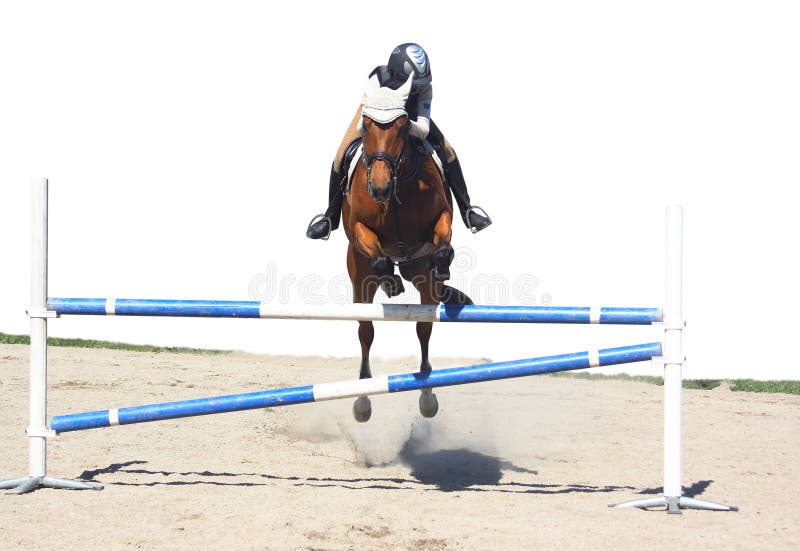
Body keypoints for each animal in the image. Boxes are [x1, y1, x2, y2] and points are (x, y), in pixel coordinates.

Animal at [340, 74, 466, 422]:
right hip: (359, 277)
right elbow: (377, 254)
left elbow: (443, 244)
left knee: (423, 327)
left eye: (401, 126)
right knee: (366, 331)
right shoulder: (358, 230)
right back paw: (362, 401)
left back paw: (426, 395)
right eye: (367, 126)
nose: (379, 187)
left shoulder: (441, 218)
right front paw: (390, 282)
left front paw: (443, 264)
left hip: (422, 280)